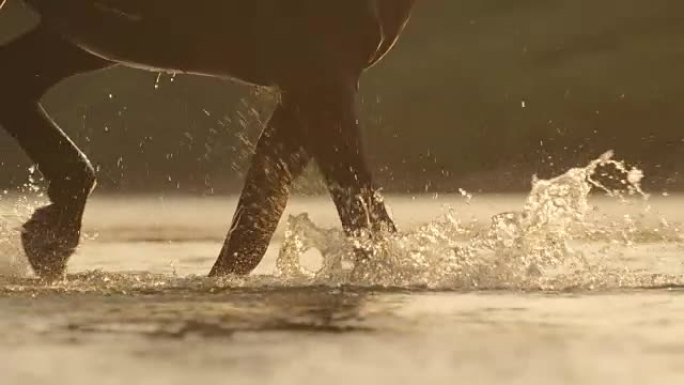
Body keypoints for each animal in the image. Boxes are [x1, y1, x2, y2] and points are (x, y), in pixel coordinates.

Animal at [0, 0, 416, 278]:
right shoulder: (322, 71)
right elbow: (366, 217)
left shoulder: (310, 80)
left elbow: (253, 223)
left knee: (16, 78)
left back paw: (53, 233)